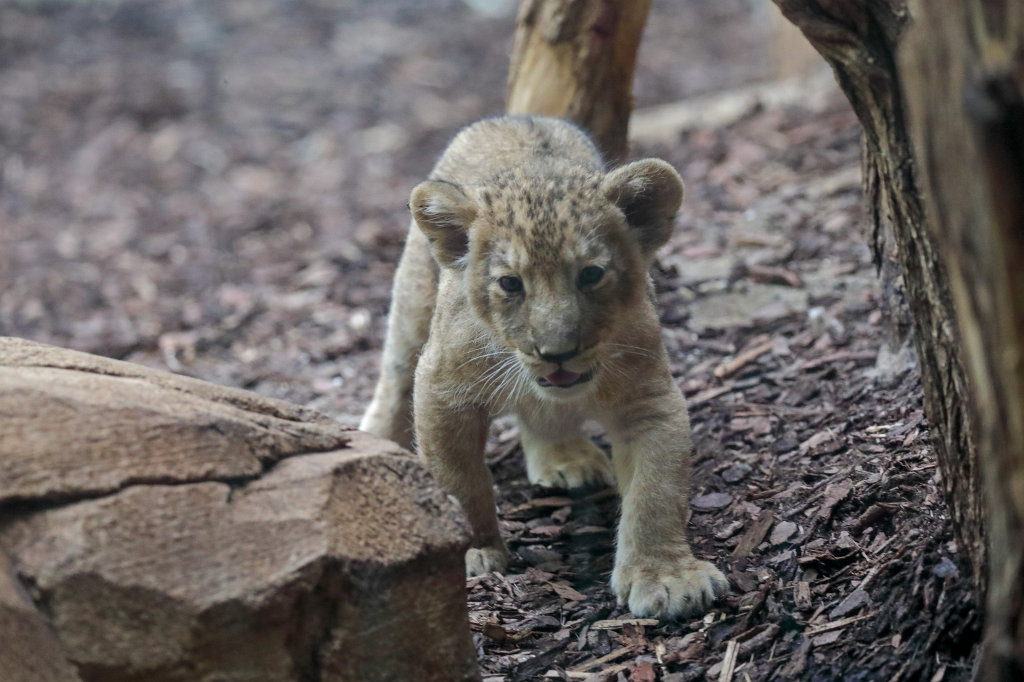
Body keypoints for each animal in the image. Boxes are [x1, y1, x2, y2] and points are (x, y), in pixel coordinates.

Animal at [360, 115, 727, 618]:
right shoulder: (441, 388)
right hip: (414, 301)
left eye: (591, 274)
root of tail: (517, 117)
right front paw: (471, 550)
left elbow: (656, 491)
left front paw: (667, 578)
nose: (556, 351)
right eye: (510, 284)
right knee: (395, 371)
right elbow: (457, 479)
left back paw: (566, 459)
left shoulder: (648, 398)